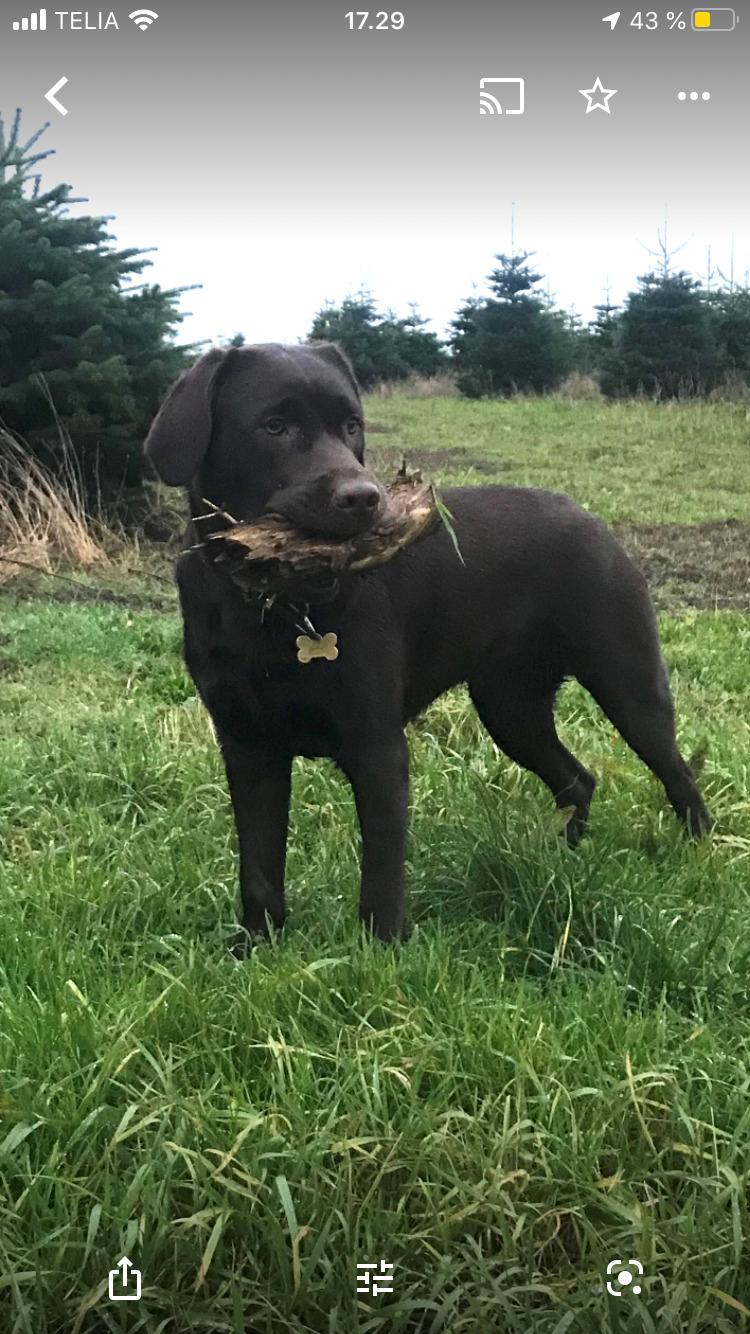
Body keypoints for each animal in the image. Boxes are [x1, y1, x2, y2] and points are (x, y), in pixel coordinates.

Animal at [144, 344, 704, 949]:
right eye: (274, 425)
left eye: (352, 424)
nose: (364, 497)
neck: (276, 612)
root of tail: (589, 517)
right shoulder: (248, 747)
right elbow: (259, 869)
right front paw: (255, 946)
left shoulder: (377, 747)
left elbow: (382, 873)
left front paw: (382, 952)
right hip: (512, 709)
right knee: (578, 780)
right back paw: (565, 859)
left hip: (628, 683)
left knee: (677, 773)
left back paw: (697, 856)